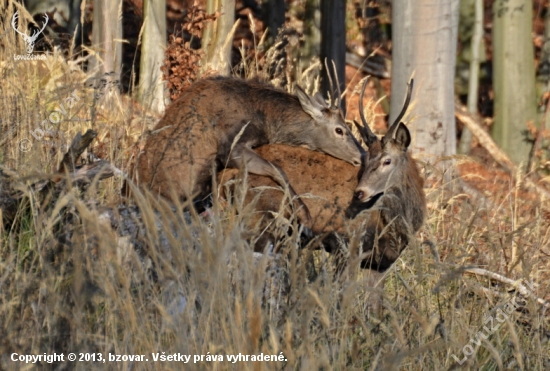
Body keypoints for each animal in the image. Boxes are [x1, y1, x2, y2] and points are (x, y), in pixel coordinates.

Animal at [135, 75, 364, 224]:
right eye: (339, 130)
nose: (360, 157)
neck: (268, 119)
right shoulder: (230, 147)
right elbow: (277, 169)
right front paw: (304, 213)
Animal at [217, 77, 426, 272]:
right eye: (367, 159)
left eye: (387, 160)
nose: (360, 192)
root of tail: (224, 177)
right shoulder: (345, 244)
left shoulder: (379, 264)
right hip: (262, 221)